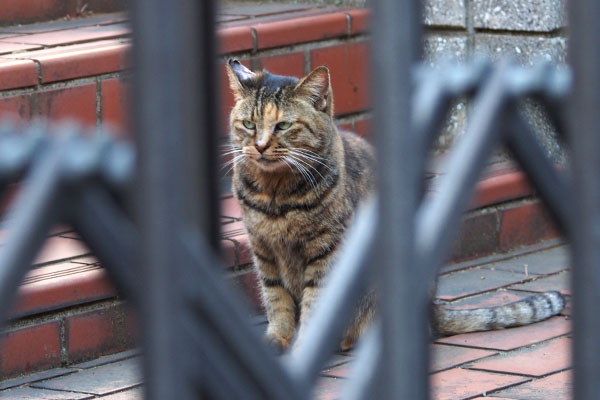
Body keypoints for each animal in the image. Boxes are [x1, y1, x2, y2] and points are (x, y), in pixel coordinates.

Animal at [224, 59, 564, 354]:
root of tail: (431, 308)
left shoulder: (326, 253)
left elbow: (316, 305)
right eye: (249, 124)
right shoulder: (264, 251)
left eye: (282, 126)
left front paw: (306, 347)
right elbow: (276, 301)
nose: (260, 146)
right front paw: (276, 340)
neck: (276, 195)